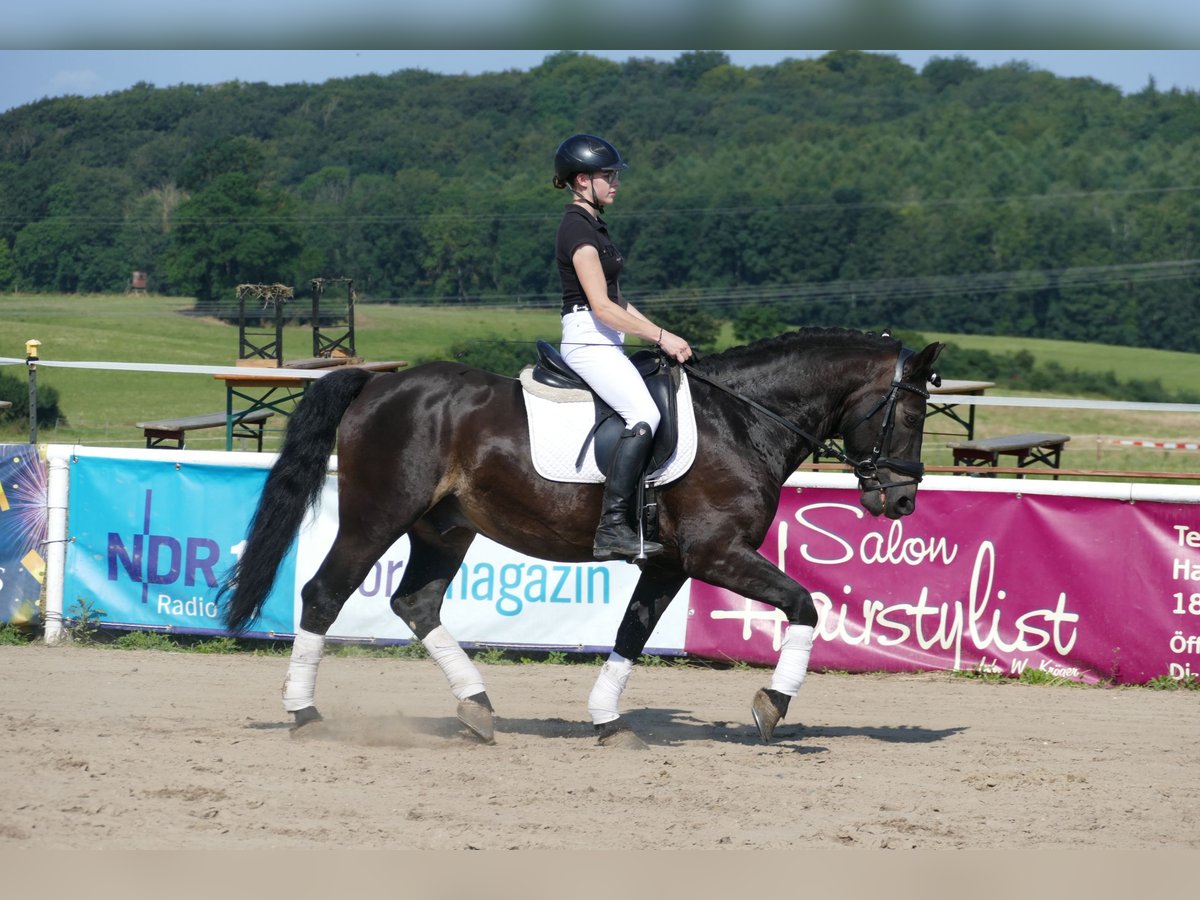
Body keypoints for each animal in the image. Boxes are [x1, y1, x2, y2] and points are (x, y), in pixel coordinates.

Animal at [220, 328, 940, 748]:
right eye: (910, 412)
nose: (903, 500)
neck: (742, 419)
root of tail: (380, 380)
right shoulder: (718, 554)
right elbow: (804, 605)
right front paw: (772, 705)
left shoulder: (670, 564)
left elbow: (632, 634)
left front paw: (607, 720)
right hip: (378, 516)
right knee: (324, 594)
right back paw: (305, 715)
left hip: (444, 529)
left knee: (415, 603)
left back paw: (477, 708)